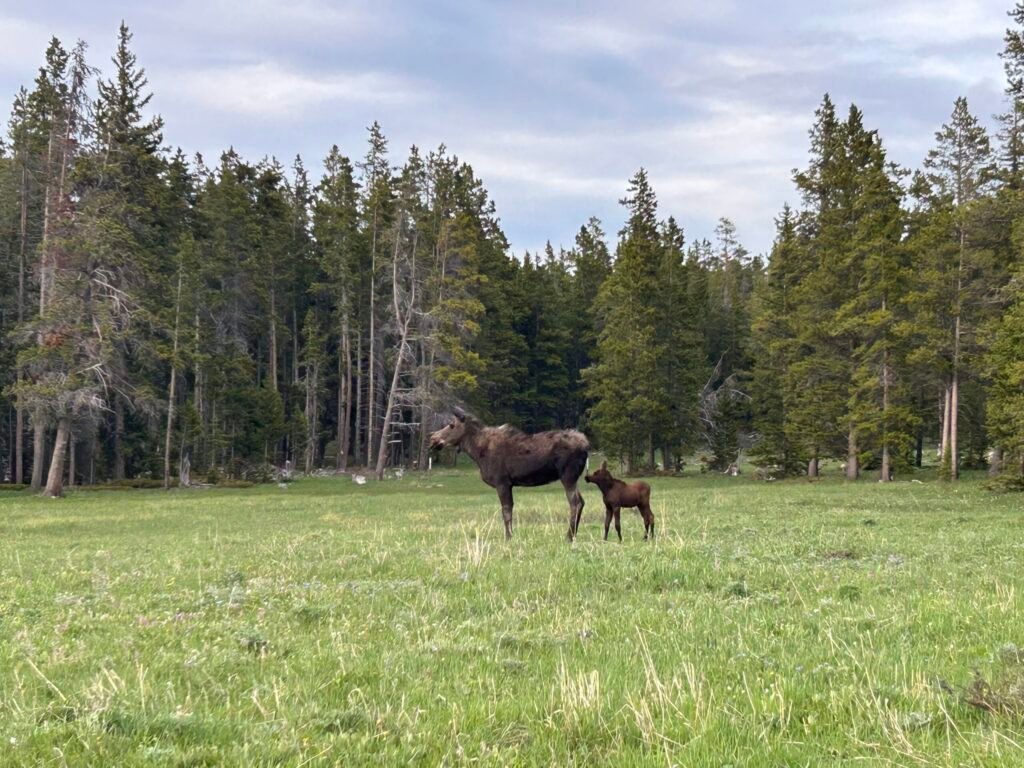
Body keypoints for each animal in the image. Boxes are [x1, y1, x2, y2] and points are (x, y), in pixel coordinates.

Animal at [430, 409, 589, 540]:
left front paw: (508, 537)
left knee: (575, 502)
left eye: (451, 425)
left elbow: (506, 510)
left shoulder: (502, 482)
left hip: (568, 475)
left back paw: (569, 536)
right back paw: (573, 535)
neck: (477, 452)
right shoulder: (509, 484)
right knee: (581, 501)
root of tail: (586, 446)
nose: (432, 438)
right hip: (572, 477)